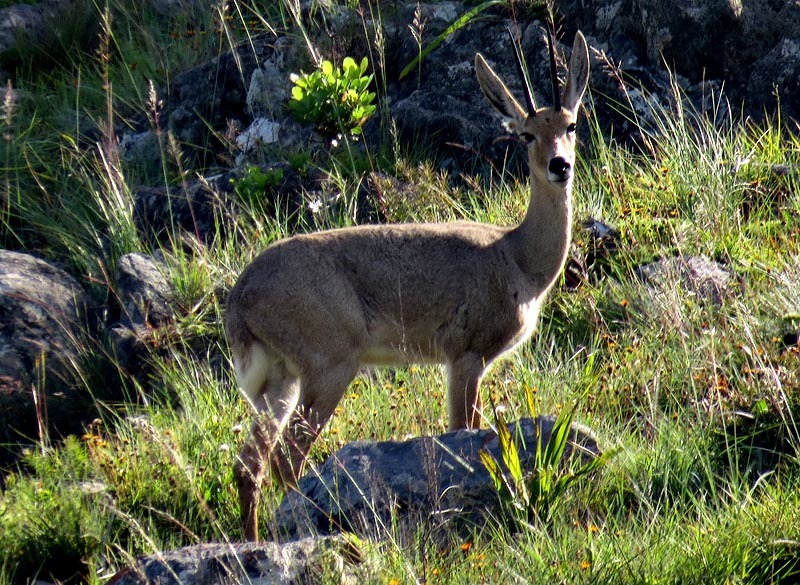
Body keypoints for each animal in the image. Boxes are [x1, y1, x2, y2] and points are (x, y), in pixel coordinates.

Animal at [225, 28, 588, 540]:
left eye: (571, 125)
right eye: (526, 133)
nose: (559, 165)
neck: (518, 257)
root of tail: (239, 299)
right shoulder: (466, 356)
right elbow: (463, 428)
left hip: (280, 380)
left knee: (249, 464)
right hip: (328, 366)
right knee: (287, 459)